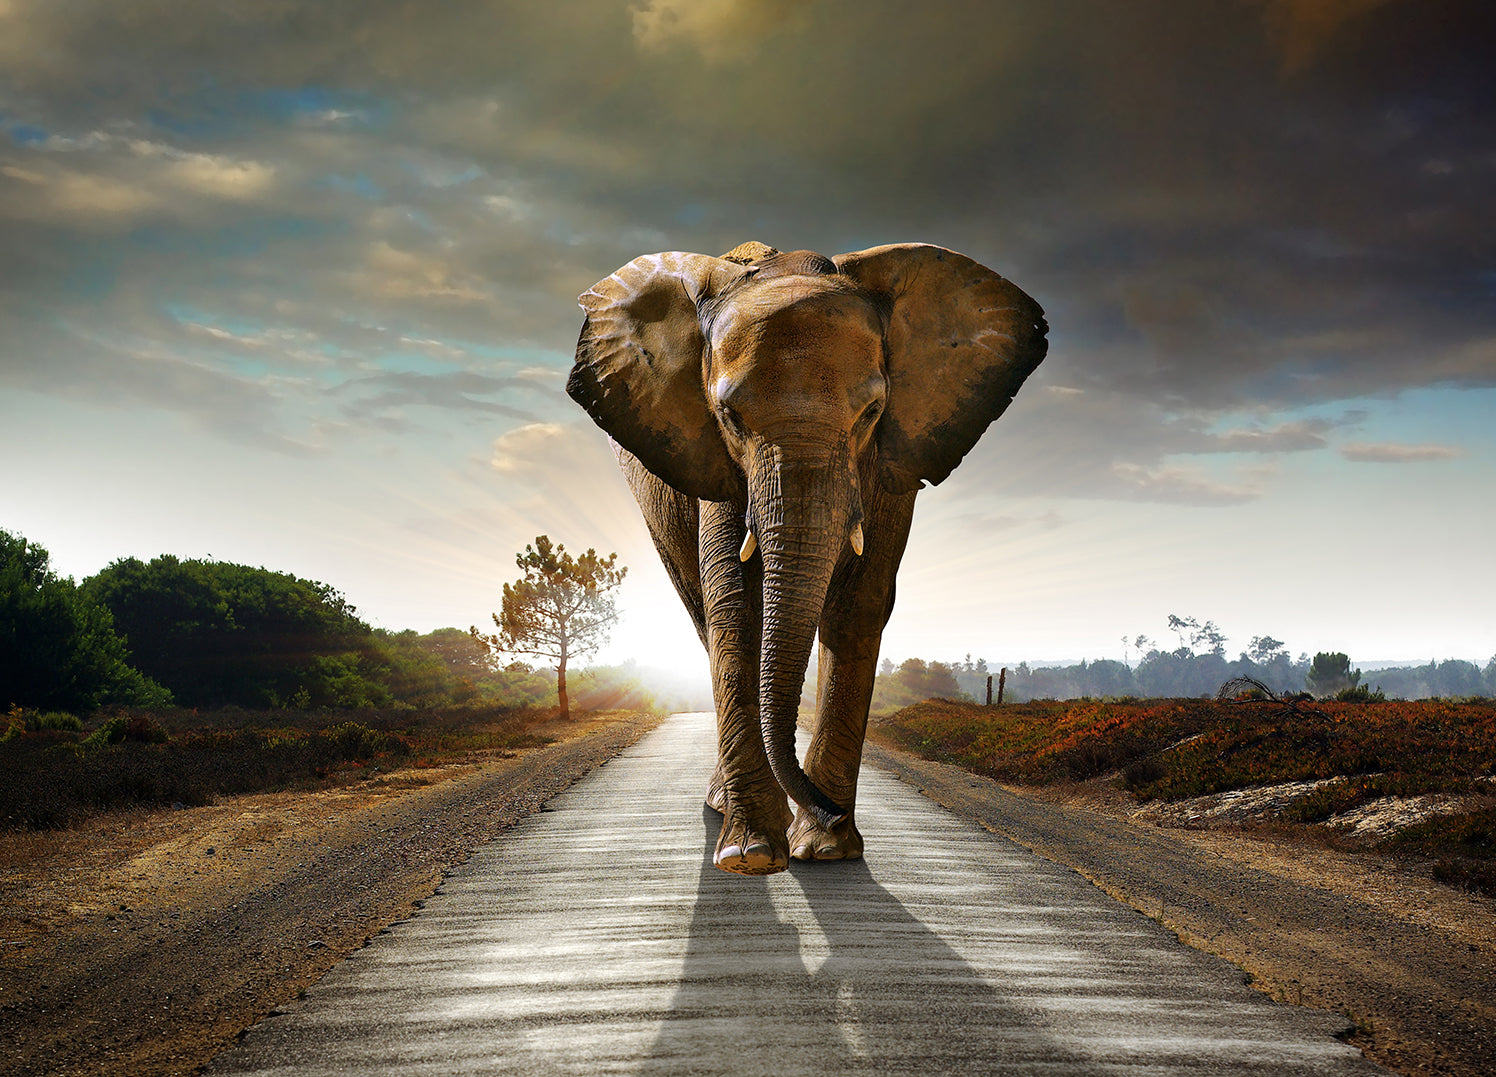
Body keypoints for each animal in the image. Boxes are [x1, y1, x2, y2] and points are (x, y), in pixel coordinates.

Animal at [567, 240, 1047, 875]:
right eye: (729, 417)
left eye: (871, 412)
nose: (828, 809)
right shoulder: (716, 462)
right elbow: (735, 604)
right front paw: (751, 855)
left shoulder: (891, 461)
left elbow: (860, 604)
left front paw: (825, 849)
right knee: (701, 612)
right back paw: (725, 808)